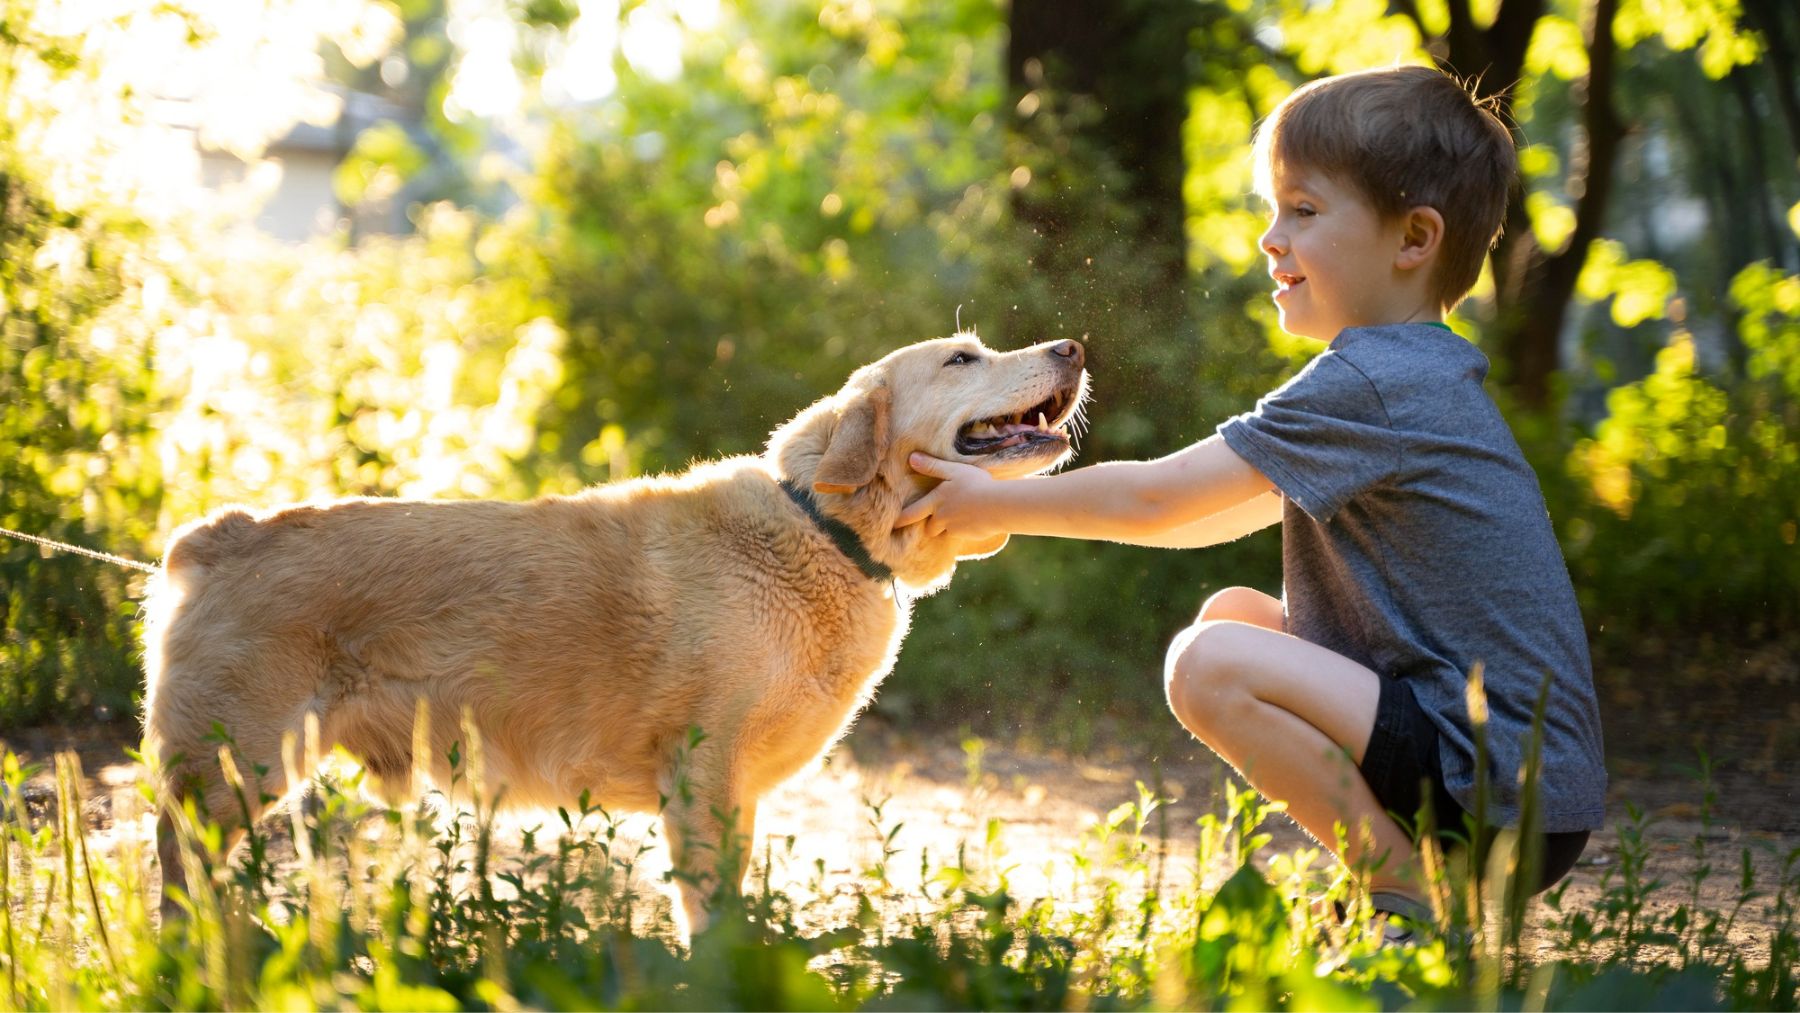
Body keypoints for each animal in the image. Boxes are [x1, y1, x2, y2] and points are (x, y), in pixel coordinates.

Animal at [140, 332, 1080, 935]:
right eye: (962, 358)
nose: (1072, 348)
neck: (822, 529)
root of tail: (223, 533)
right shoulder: (701, 778)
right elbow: (712, 916)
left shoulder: (737, 795)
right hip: (229, 775)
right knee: (176, 873)